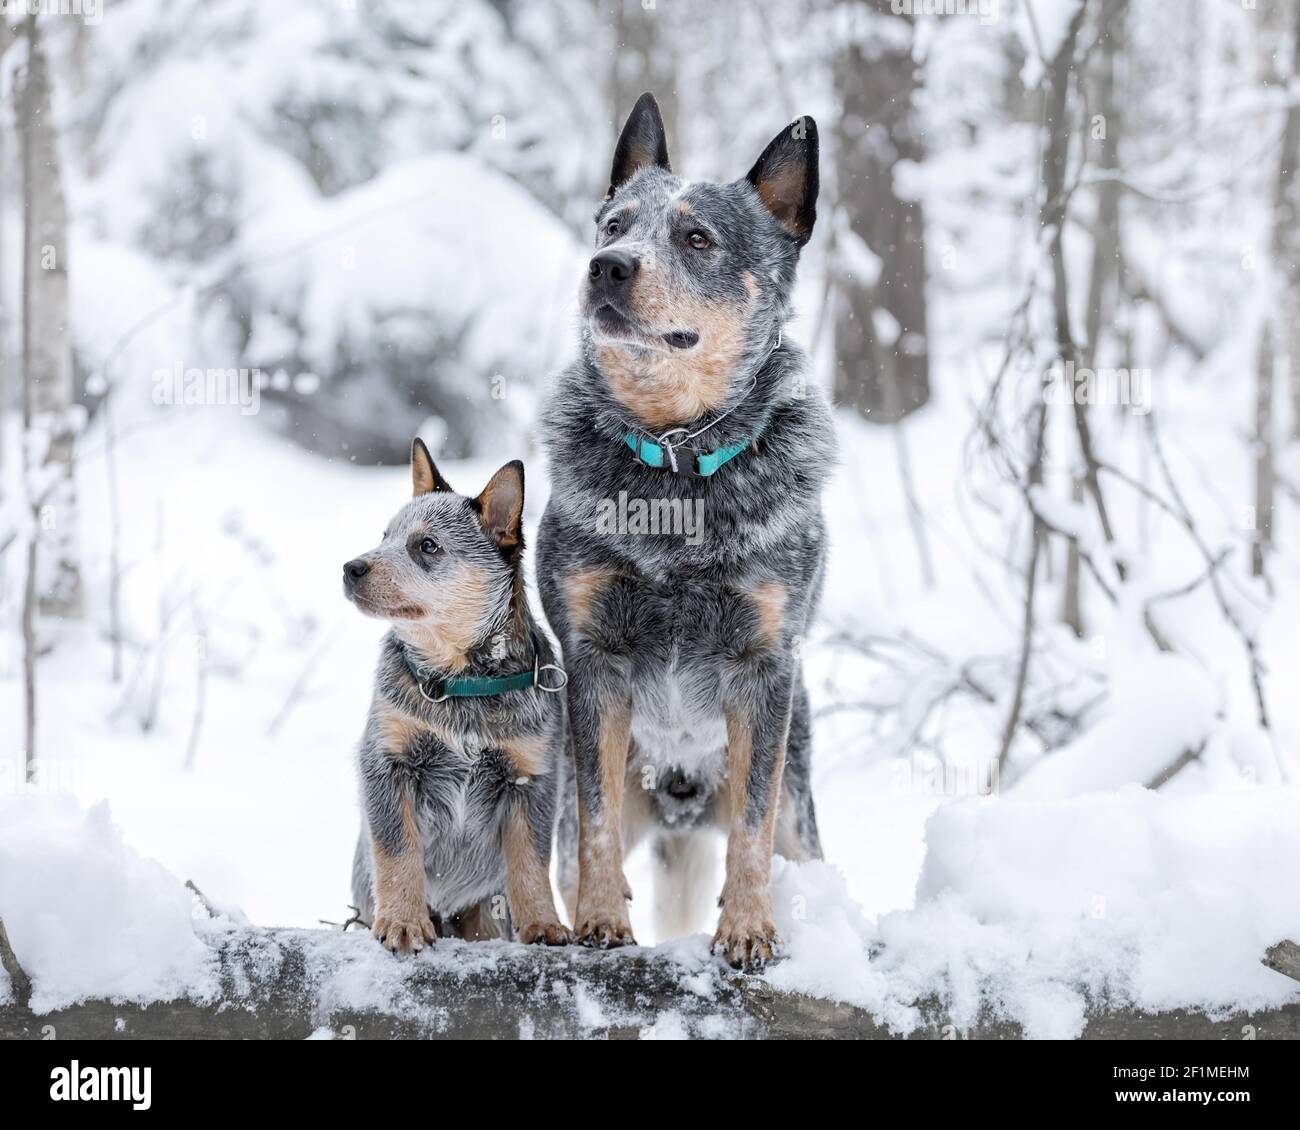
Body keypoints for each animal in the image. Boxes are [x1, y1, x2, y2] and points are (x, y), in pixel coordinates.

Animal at [345, 442, 569, 951]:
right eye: (385, 535)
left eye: (427, 546)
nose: (350, 568)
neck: (460, 684)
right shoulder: (387, 761)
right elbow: (397, 854)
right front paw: (403, 922)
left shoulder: (532, 776)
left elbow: (531, 863)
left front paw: (544, 924)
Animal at [535, 92, 832, 967]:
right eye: (613, 224)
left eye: (697, 237)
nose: (607, 266)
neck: (676, 463)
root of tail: (679, 803)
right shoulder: (594, 659)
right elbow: (597, 822)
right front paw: (601, 921)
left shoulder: (765, 668)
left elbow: (752, 833)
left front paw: (748, 930)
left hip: (800, 805)